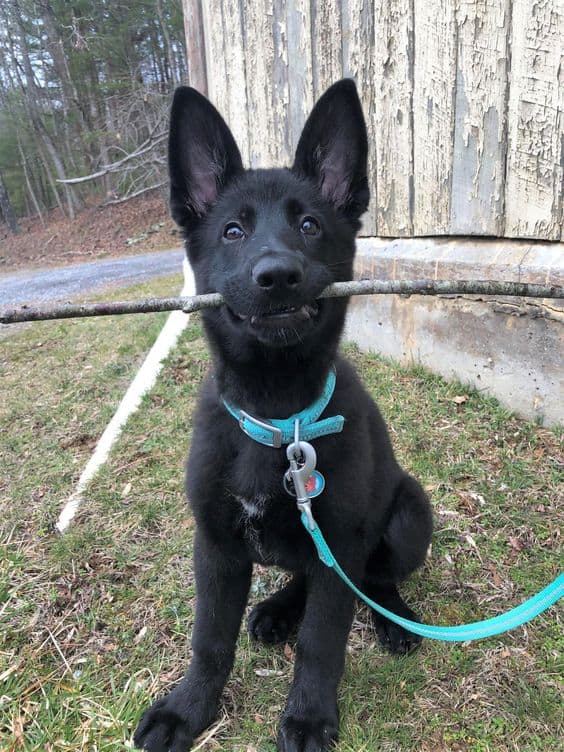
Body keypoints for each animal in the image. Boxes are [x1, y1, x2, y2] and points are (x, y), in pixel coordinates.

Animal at [134, 79, 434, 748]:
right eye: (232, 232)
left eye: (310, 225)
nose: (277, 276)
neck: (276, 415)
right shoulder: (215, 546)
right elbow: (210, 639)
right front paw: (187, 710)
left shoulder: (342, 537)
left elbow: (323, 641)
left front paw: (309, 716)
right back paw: (275, 611)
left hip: (408, 514)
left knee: (374, 581)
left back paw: (394, 621)